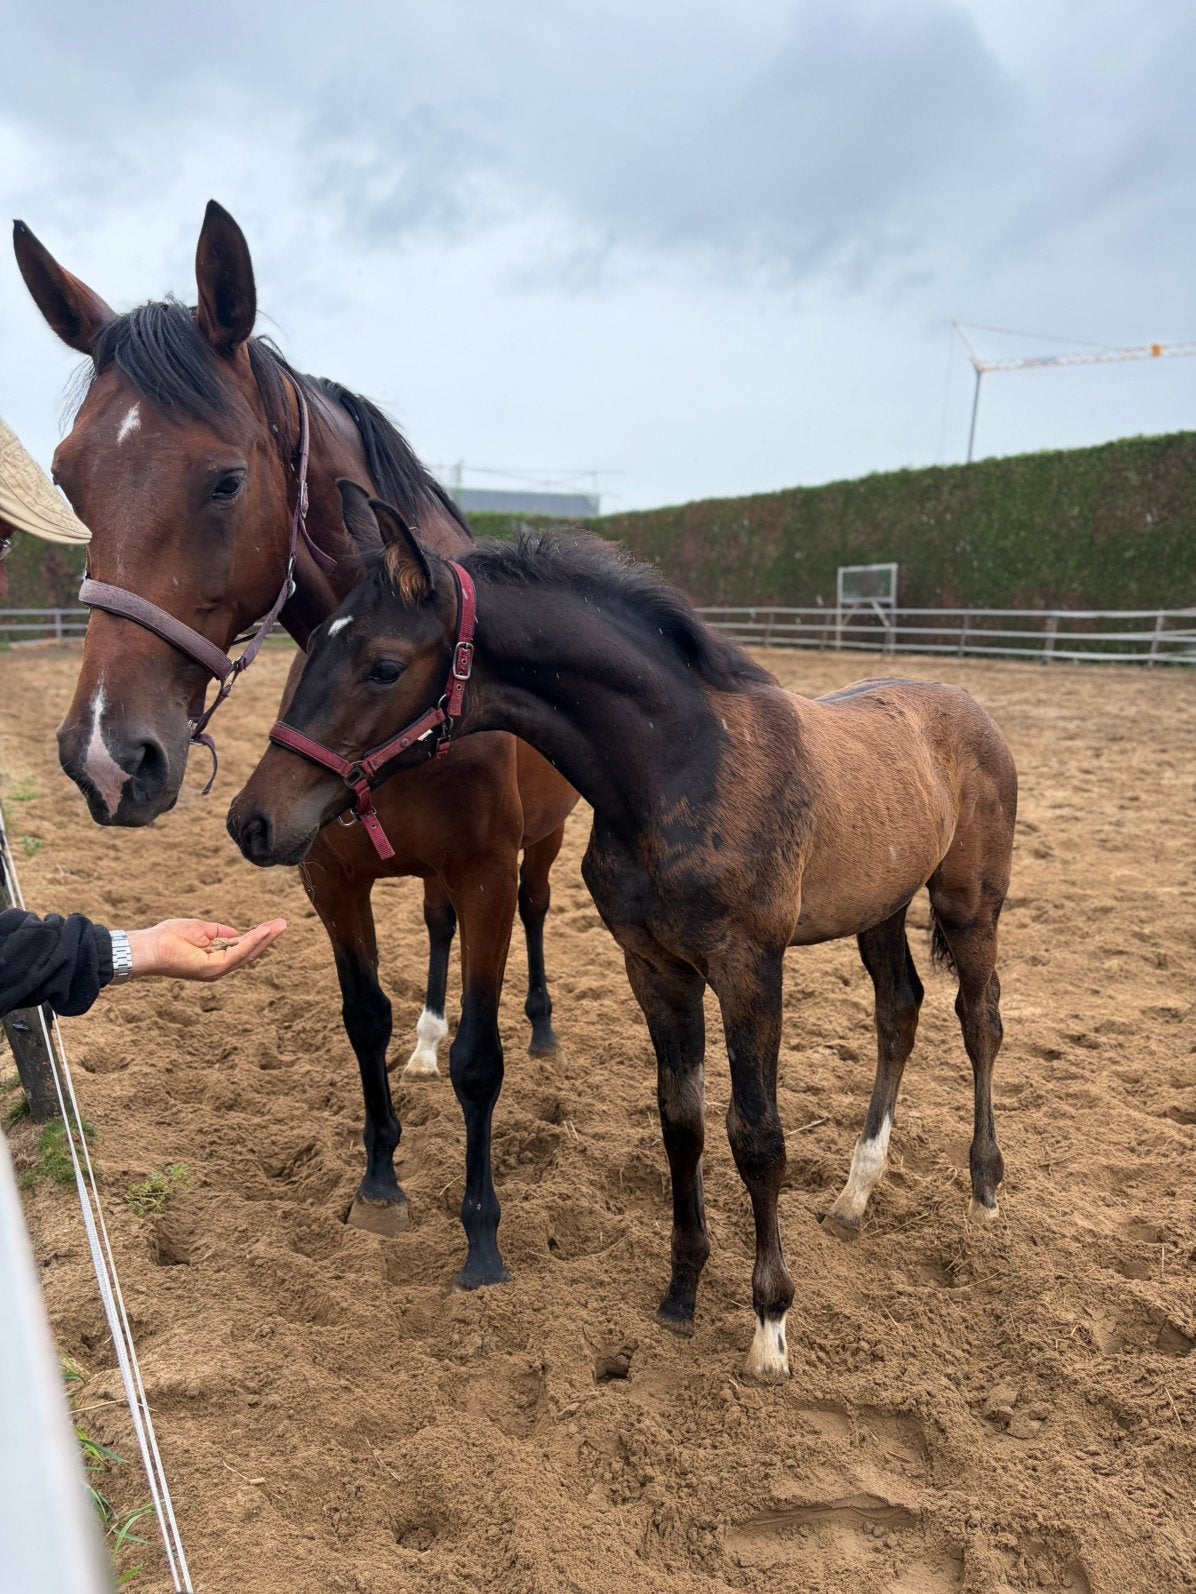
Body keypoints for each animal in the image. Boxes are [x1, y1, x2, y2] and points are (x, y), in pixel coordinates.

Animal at [13, 204, 578, 1285]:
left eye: (227, 480)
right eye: (67, 478)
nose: (108, 756)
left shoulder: (487, 870)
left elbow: (481, 1060)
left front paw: (482, 1236)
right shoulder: (331, 875)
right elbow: (364, 1021)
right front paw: (380, 1183)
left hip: (543, 845)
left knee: (533, 924)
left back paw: (540, 1028)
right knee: (433, 937)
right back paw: (425, 1039)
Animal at [227, 493, 1018, 1380]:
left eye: (384, 666)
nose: (254, 821)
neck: (681, 767)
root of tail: (967, 705)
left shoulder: (748, 968)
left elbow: (757, 1137)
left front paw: (770, 1327)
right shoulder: (655, 968)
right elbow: (683, 1123)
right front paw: (681, 1293)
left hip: (969, 902)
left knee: (979, 1019)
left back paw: (985, 1189)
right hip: (880, 906)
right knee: (899, 1011)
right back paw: (854, 1196)